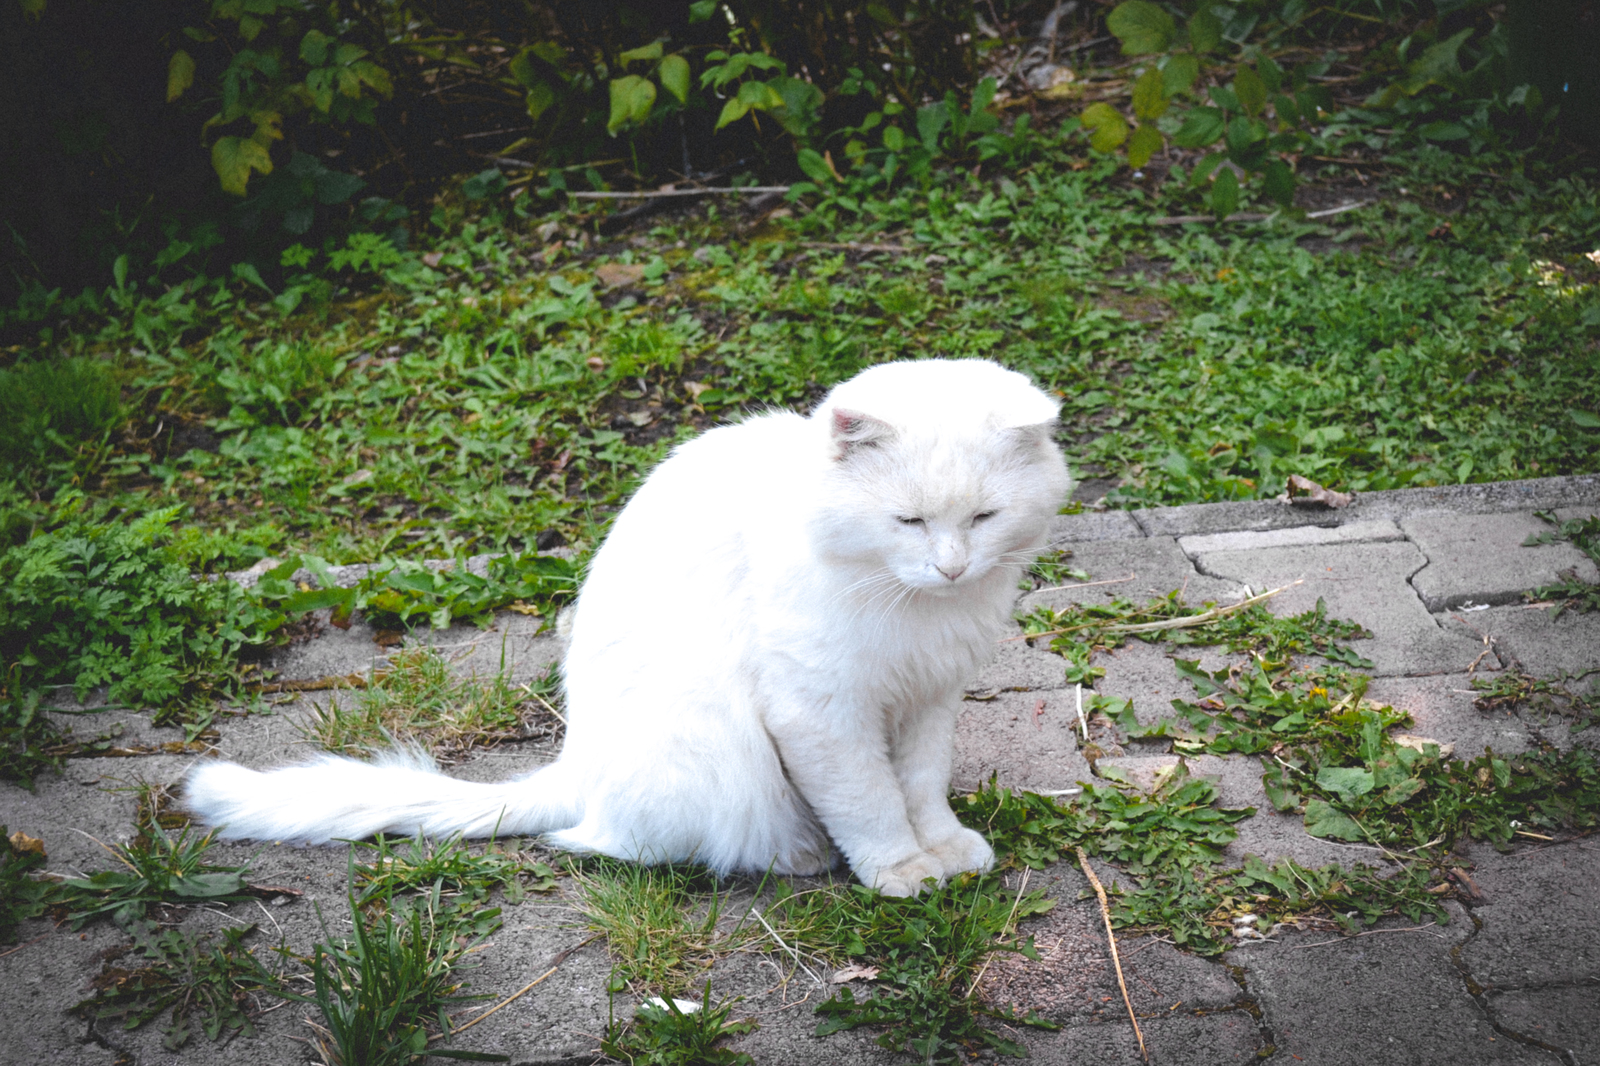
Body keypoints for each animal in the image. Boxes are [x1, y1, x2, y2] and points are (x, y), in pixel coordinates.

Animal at [181, 361, 1068, 889]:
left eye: (982, 519)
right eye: (908, 521)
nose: (951, 567)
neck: (916, 606)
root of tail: (576, 765)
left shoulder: (928, 698)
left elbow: (919, 787)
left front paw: (946, 851)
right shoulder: (822, 712)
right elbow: (872, 804)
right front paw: (902, 873)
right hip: (714, 746)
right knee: (620, 843)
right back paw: (799, 855)